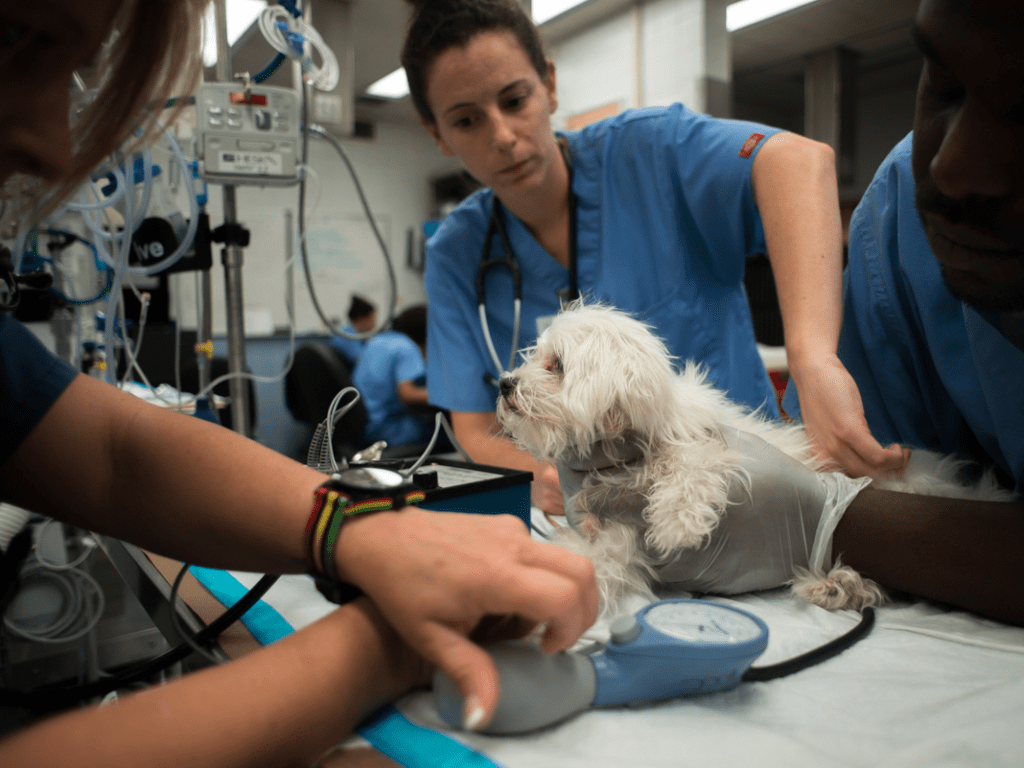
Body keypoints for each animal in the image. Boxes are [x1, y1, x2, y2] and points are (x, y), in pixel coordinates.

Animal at [495, 303, 1015, 618]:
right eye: (532, 357)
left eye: (556, 366)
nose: (503, 382)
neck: (626, 455)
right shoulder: (610, 525)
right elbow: (594, 557)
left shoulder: (706, 447)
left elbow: (693, 466)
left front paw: (678, 525)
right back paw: (838, 586)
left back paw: (842, 584)